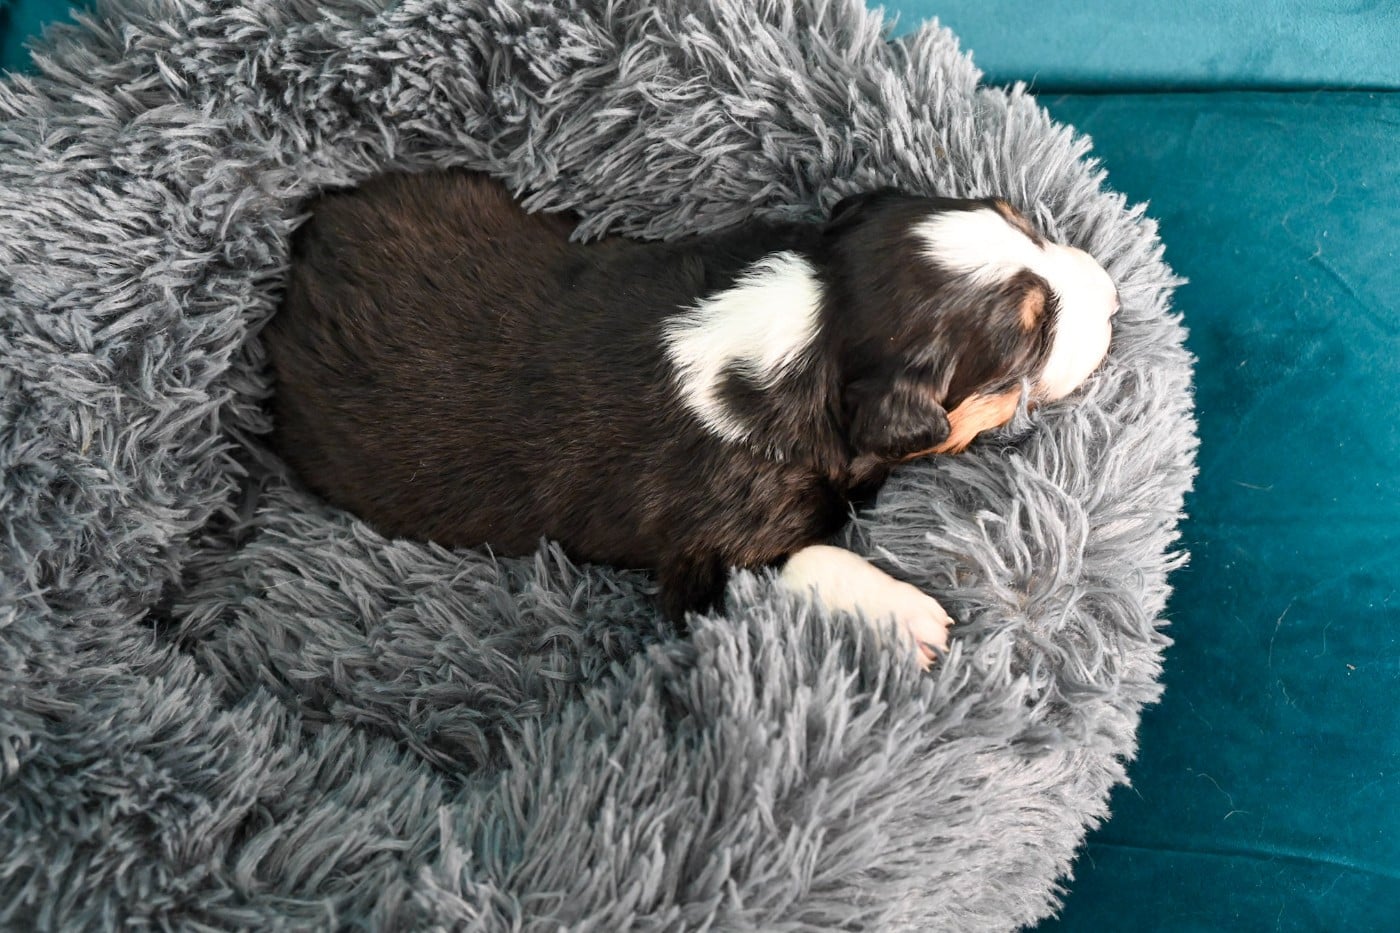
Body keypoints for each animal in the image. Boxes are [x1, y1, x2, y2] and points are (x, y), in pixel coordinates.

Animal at [265, 169, 1118, 667]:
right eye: (1032, 334)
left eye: (1025, 223)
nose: (1114, 298)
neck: (818, 328)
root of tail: (297, 263)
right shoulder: (707, 553)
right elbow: (804, 560)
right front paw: (913, 617)